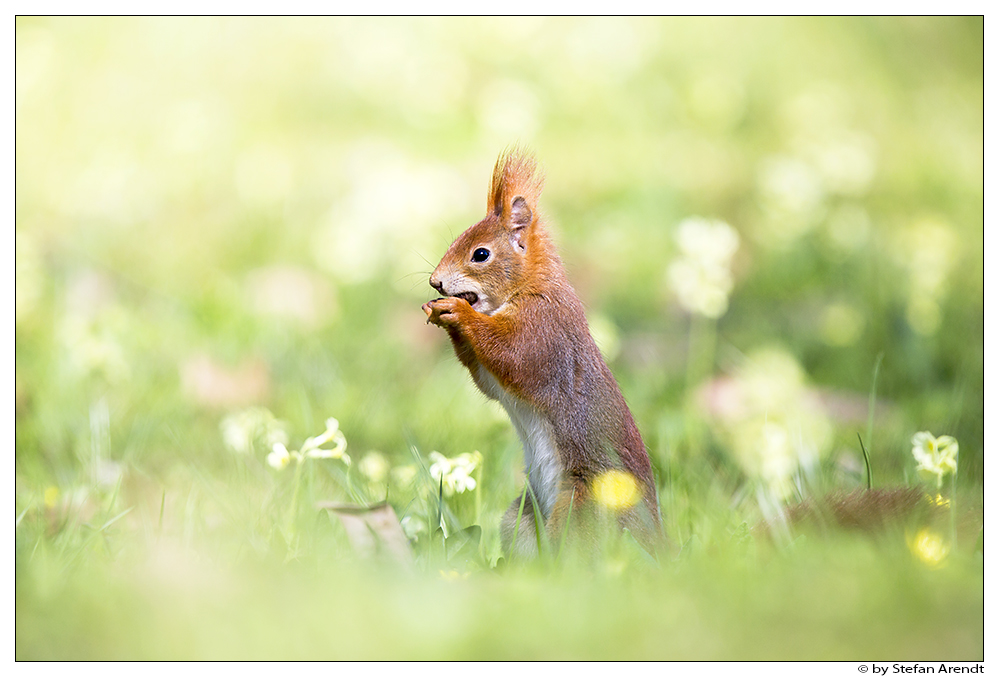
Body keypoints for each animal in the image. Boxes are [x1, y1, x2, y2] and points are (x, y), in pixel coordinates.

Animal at [422, 149, 664, 556]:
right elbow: (491, 381)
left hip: (581, 512)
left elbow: (513, 357)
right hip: (520, 517)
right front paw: (441, 315)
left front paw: (459, 313)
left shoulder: (543, 331)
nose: (435, 282)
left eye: (481, 254)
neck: (529, 285)